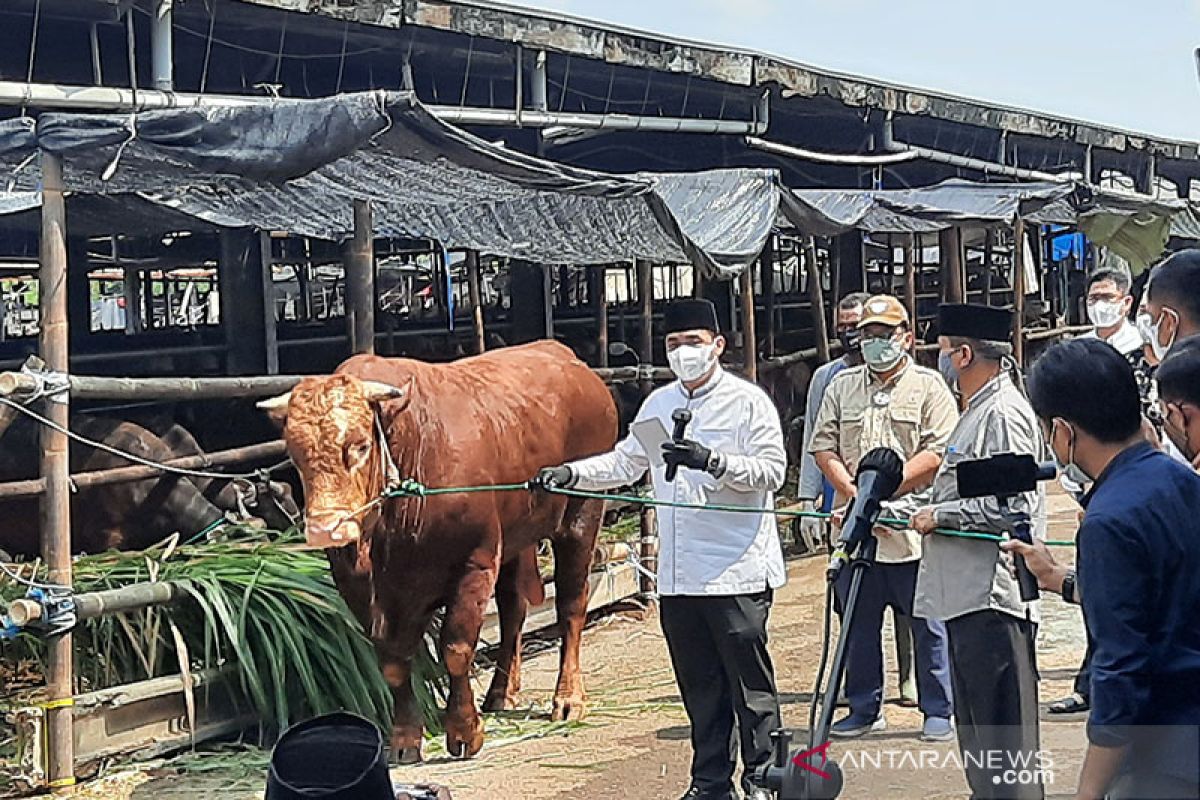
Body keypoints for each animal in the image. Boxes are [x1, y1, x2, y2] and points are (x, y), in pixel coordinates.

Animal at [260, 340, 619, 762]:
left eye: (360, 446)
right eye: (295, 455)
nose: (324, 527)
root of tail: (567, 358)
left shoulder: (474, 562)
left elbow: (457, 648)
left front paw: (464, 731)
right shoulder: (359, 587)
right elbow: (393, 662)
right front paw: (404, 740)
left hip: (582, 515)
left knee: (571, 605)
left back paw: (568, 699)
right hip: (516, 538)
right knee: (513, 609)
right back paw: (500, 694)